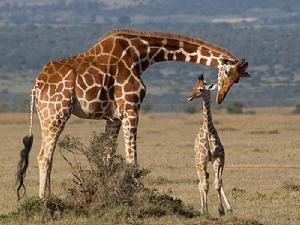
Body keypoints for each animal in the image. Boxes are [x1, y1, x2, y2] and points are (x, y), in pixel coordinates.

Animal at [16, 28, 251, 199]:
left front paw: (108, 194)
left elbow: (107, 158)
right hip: (56, 113)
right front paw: (136, 195)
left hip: (45, 115)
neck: (142, 54)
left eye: (237, 80)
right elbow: (132, 160)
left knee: (47, 155)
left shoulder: (113, 117)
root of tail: (36, 86)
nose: (220, 97)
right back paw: (44, 201)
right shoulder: (131, 107)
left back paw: (49, 197)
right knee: (44, 155)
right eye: (226, 72)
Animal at [188, 74, 232, 215]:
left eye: (201, 89)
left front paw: (221, 209)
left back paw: (229, 208)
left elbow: (217, 183)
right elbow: (205, 185)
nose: (189, 97)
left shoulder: (218, 158)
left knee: (215, 181)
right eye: (193, 87)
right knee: (201, 183)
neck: (208, 130)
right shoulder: (202, 160)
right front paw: (206, 210)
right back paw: (202, 209)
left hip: (211, 162)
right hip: (198, 163)